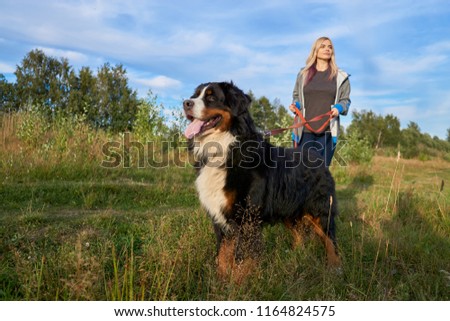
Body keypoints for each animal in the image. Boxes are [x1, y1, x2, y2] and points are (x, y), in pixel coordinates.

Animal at [183, 82, 342, 280]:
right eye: (195, 95)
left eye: (211, 97)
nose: (186, 103)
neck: (226, 147)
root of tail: (317, 156)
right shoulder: (221, 218)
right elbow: (223, 255)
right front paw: (220, 281)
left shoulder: (246, 217)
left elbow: (243, 257)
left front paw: (238, 282)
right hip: (288, 209)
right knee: (299, 237)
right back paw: (295, 260)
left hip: (320, 209)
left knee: (330, 239)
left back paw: (334, 268)